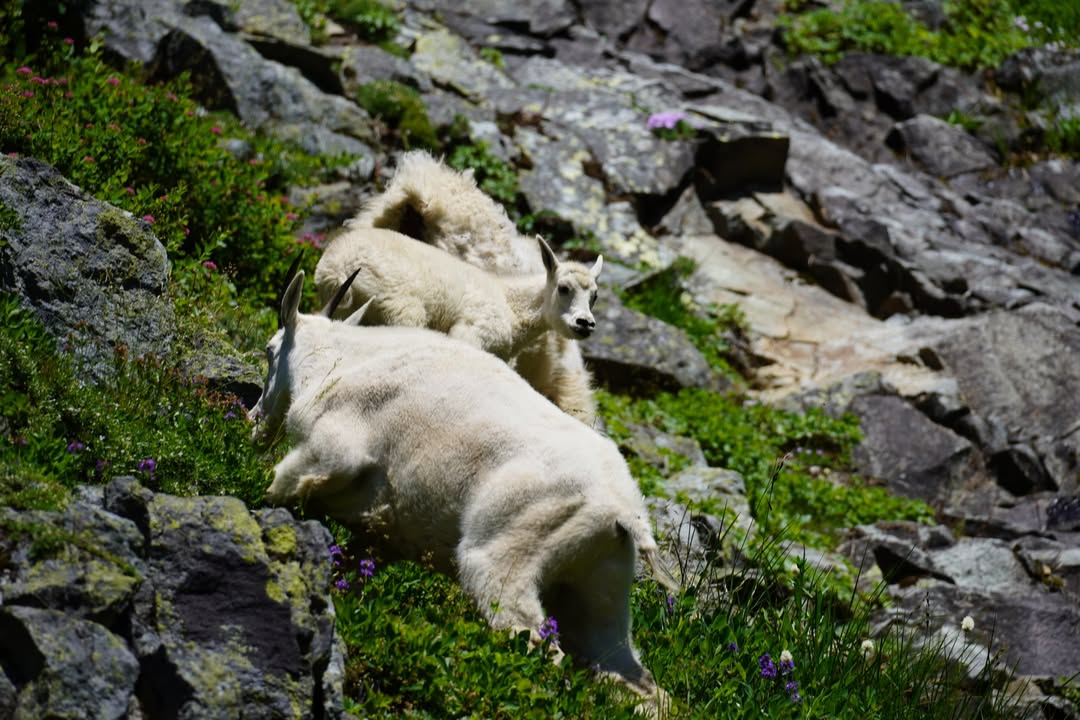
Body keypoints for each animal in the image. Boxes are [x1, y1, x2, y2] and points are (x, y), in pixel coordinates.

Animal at [250, 270, 673, 716]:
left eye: (269, 351)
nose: (254, 419)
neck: (343, 361)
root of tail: (625, 514)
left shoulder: (329, 452)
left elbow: (279, 490)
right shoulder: (381, 534)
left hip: (505, 555)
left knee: (539, 644)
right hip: (599, 591)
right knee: (632, 678)